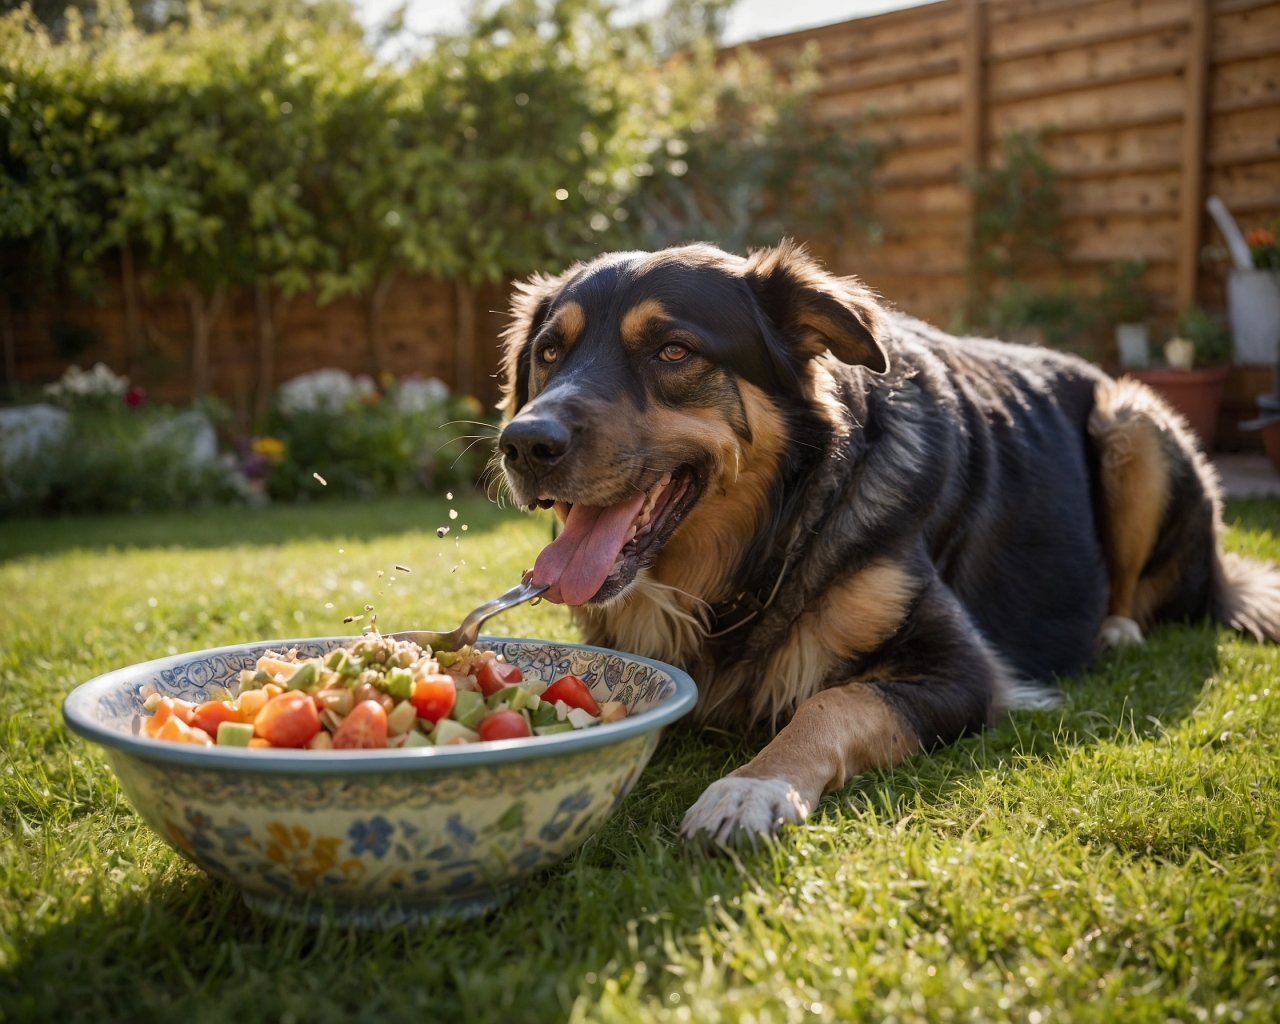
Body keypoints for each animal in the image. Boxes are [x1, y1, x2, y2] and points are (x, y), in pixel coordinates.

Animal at [491, 238, 1280, 839]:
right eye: (550, 354)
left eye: (674, 351)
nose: (523, 443)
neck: (773, 536)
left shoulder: (962, 671)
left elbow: (832, 703)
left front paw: (754, 785)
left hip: (1132, 420)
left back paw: (1116, 630)